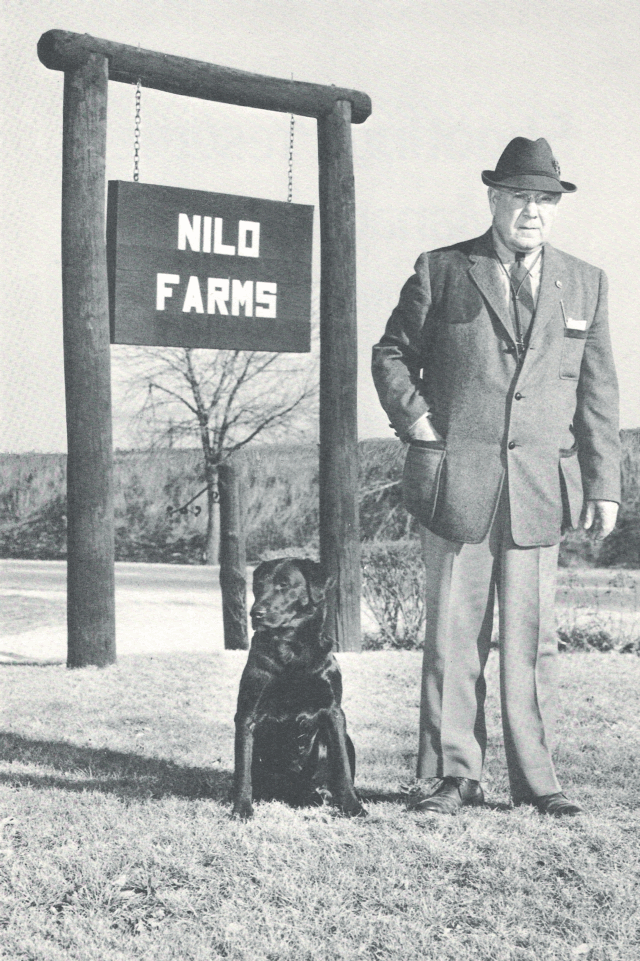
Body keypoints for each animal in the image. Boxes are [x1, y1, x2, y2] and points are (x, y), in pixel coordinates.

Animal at [231, 556, 364, 816]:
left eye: (284, 584)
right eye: (258, 586)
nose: (255, 613)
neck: (291, 650)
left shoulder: (334, 712)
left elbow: (342, 765)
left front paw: (353, 806)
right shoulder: (246, 714)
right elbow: (244, 769)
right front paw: (242, 808)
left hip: (343, 741)